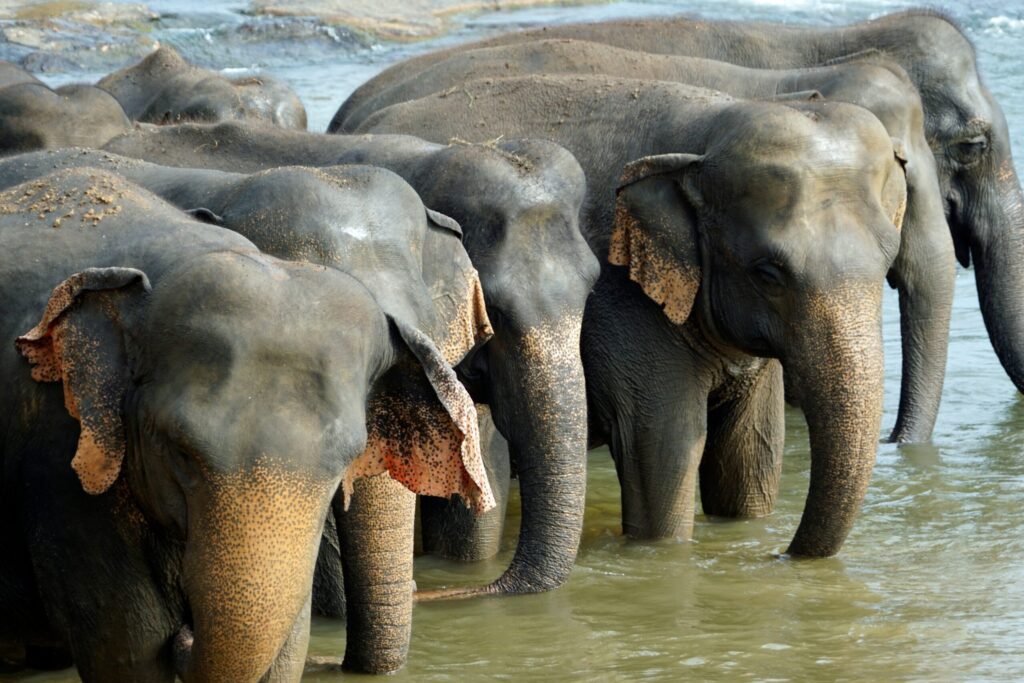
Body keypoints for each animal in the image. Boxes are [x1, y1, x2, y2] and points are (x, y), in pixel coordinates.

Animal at [0, 150, 497, 673]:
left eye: (342, 465)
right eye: (179, 453)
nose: (188, 632)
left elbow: (288, 640)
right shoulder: (59, 460)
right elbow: (128, 646)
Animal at [356, 74, 909, 557]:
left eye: (888, 260)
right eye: (768, 272)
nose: (784, 555)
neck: (706, 133)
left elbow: (750, 458)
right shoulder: (632, 318)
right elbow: (664, 457)